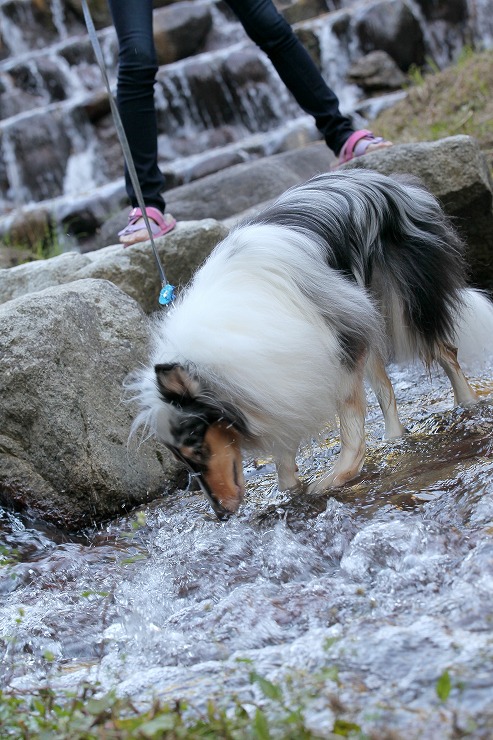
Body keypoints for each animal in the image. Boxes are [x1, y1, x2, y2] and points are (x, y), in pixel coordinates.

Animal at [129, 170, 492, 516]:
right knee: (385, 387)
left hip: (404, 309)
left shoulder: (338, 348)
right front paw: (290, 491)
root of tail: (388, 181)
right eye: (182, 457)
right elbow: (284, 446)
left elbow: (350, 426)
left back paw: (468, 405)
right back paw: (393, 438)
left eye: (196, 443)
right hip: (368, 321)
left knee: (446, 353)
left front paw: (335, 477)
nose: (220, 515)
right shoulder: (284, 376)